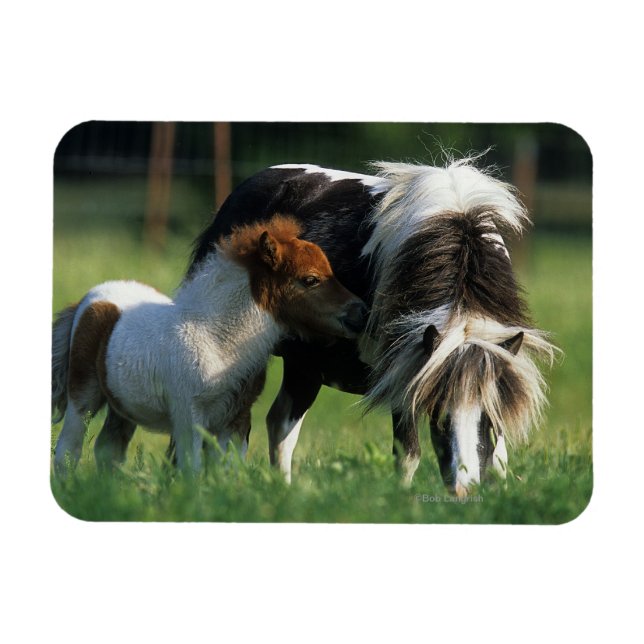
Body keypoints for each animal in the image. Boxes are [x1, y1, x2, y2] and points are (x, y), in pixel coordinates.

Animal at [51, 215, 368, 475]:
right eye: (310, 279)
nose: (360, 313)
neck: (217, 340)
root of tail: (90, 298)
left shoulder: (236, 419)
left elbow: (226, 470)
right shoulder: (189, 418)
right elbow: (191, 470)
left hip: (123, 404)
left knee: (109, 450)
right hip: (83, 394)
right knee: (68, 449)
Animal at [189, 159, 556, 494]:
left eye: (487, 419)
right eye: (438, 414)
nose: (463, 490)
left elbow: (499, 457)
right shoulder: (404, 374)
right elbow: (408, 454)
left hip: (304, 366)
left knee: (279, 425)